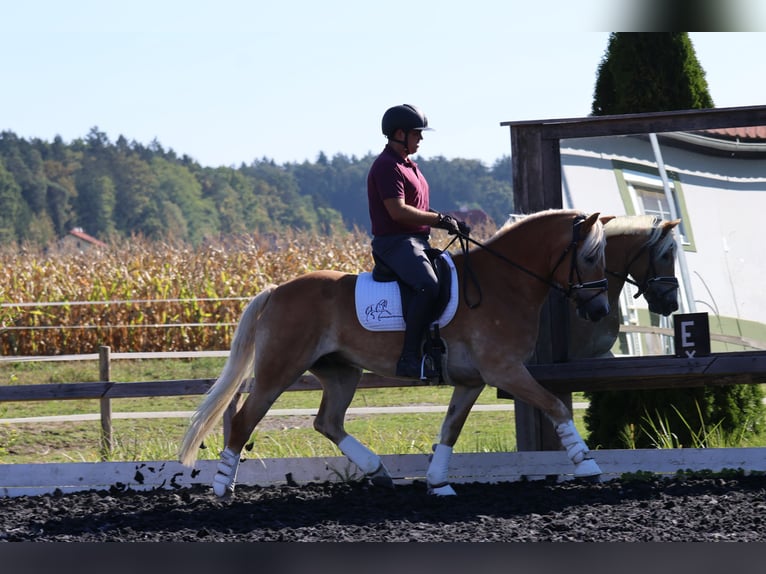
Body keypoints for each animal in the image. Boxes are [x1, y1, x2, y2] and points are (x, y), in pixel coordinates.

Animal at [179, 209, 611, 497]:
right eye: (589, 257)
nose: (600, 311)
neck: (503, 282)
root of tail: (276, 290)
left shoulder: (472, 380)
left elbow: (450, 428)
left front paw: (439, 483)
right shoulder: (505, 370)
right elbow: (556, 404)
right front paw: (588, 465)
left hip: (341, 372)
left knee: (327, 422)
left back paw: (378, 470)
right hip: (279, 370)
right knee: (244, 421)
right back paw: (223, 487)